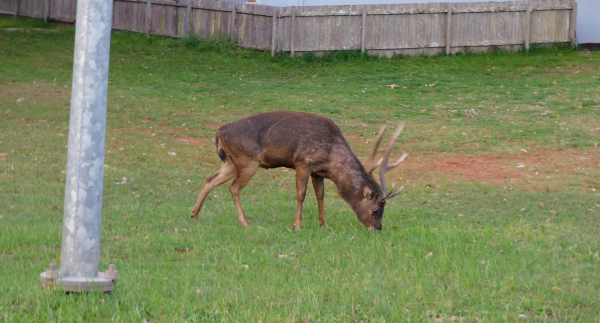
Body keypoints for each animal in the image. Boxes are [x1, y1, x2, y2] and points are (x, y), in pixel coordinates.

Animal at [192, 110, 408, 230]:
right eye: (375, 210)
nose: (377, 228)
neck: (331, 159)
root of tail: (219, 132)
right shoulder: (303, 161)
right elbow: (301, 194)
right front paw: (297, 225)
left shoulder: (318, 172)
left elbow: (320, 195)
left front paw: (324, 224)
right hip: (248, 160)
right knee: (234, 188)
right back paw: (245, 223)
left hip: (230, 162)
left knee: (209, 180)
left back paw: (194, 215)